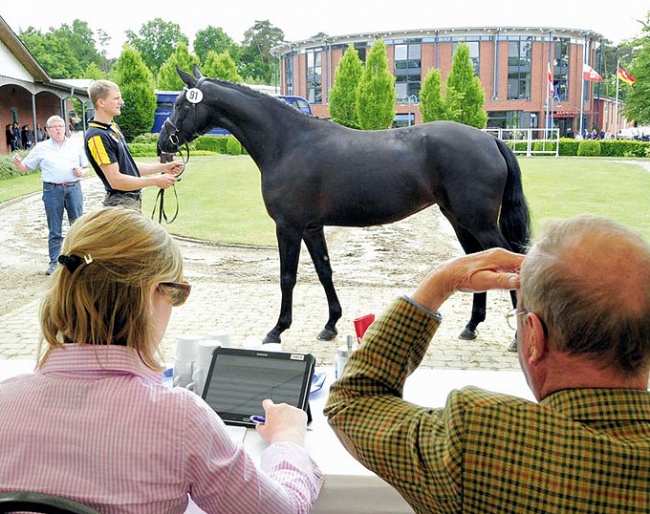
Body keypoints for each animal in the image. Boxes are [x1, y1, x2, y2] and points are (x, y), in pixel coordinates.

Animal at [159, 64, 528, 344]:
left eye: (180, 104)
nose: (164, 141)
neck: (289, 143)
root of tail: (490, 139)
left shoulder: (288, 227)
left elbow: (287, 276)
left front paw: (277, 330)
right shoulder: (311, 227)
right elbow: (324, 271)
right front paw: (330, 325)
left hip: (478, 221)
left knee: (510, 259)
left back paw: (515, 337)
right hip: (459, 218)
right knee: (477, 262)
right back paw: (471, 327)